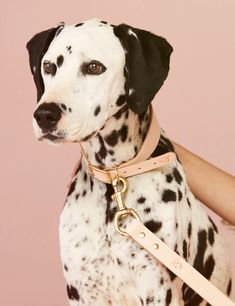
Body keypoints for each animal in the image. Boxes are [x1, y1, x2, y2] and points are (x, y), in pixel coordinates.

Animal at [27, 17, 231, 304]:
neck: (113, 183)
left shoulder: (159, 290)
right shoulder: (81, 289)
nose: (45, 115)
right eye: (48, 66)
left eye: (94, 67)